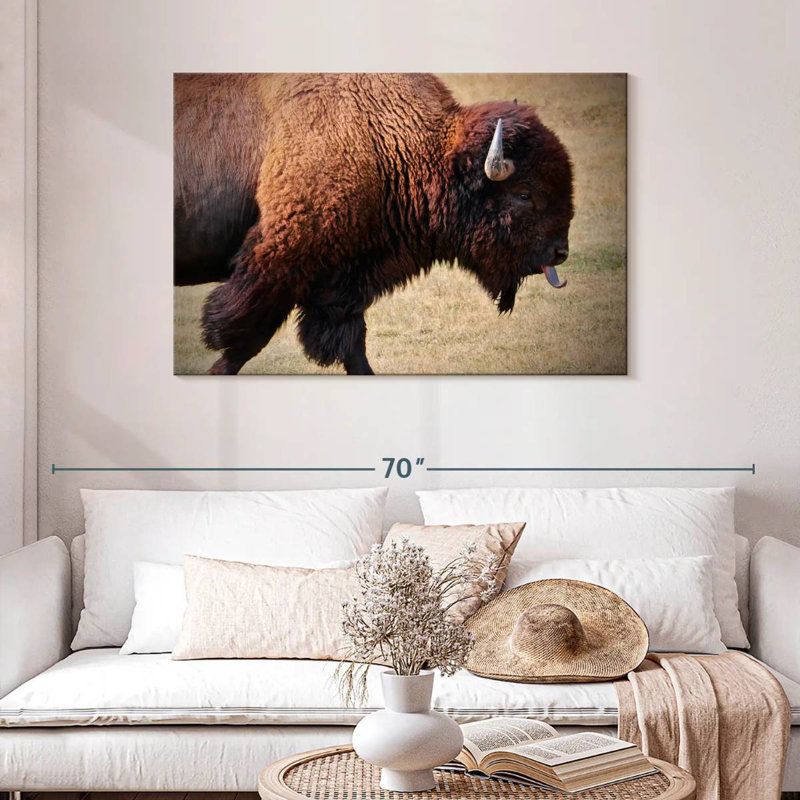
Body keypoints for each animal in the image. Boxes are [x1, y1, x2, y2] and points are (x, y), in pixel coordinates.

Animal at [174, 73, 574, 374]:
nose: (560, 252)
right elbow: (244, 338)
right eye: (523, 193)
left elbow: (352, 347)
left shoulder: (341, 285)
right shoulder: (279, 266)